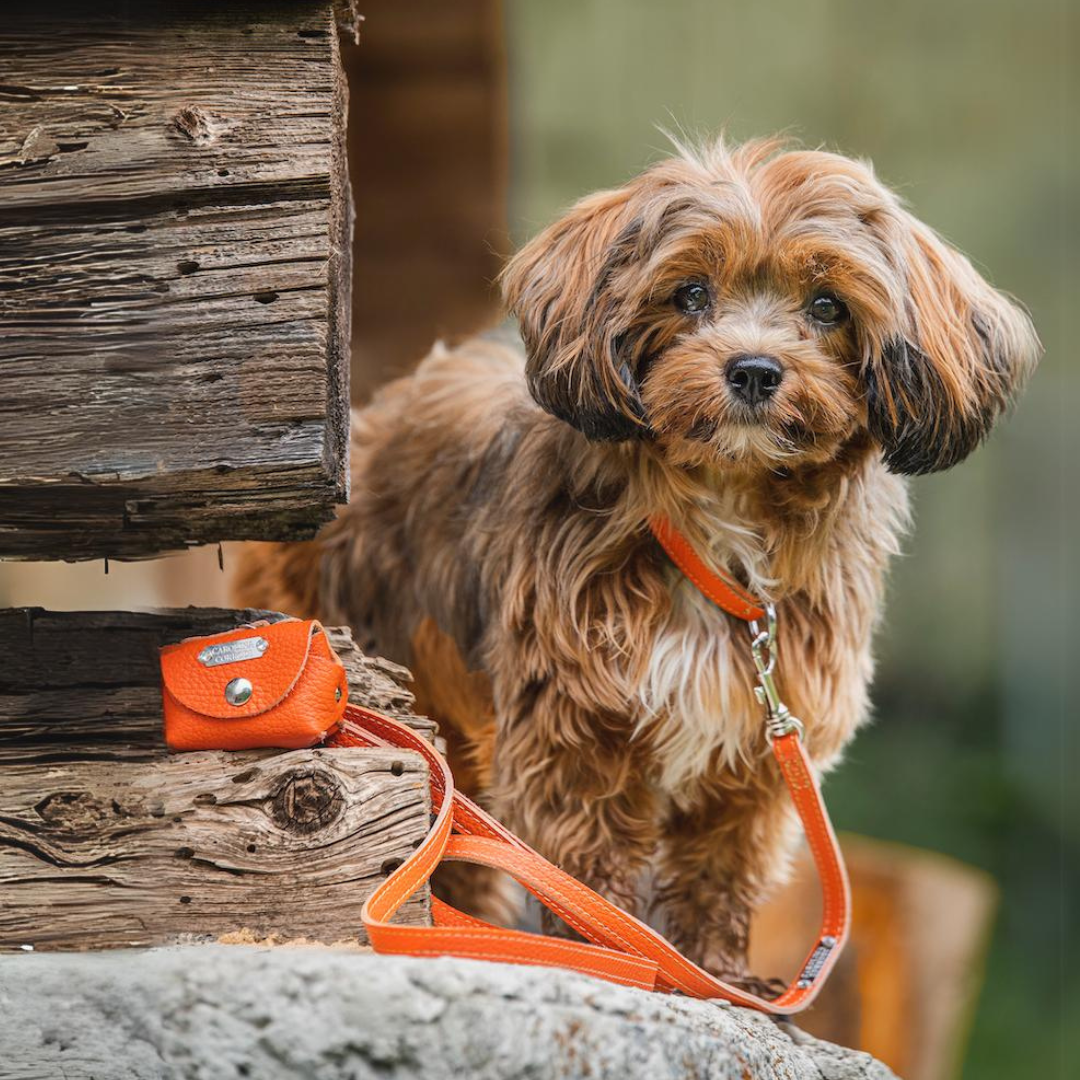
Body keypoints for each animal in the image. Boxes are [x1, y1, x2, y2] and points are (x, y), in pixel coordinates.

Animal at [234, 135, 1036, 989]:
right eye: (690, 293)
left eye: (827, 306)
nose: (754, 370)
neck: (720, 525)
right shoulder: (576, 720)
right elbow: (585, 858)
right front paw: (606, 946)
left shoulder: (757, 746)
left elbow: (722, 866)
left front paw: (717, 968)